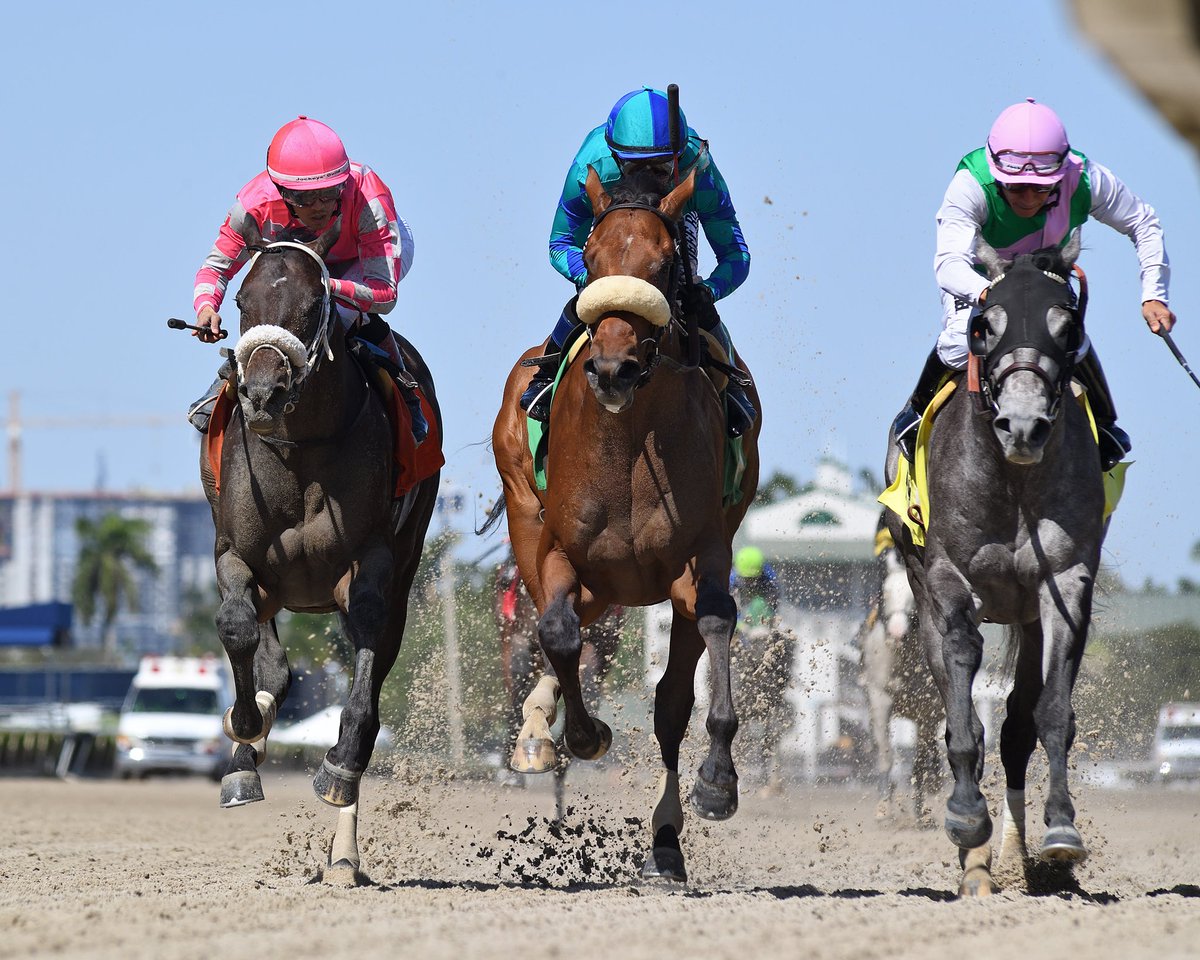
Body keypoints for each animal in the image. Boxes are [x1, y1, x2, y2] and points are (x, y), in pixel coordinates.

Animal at [199, 217, 444, 883]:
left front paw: (338, 768)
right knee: (274, 661)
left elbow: (366, 653)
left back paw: (343, 849)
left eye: (313, 305)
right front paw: (244, 739)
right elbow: (236, 627)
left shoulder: (371, 561)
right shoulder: (234, 553)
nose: (260, 392)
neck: (302, 448)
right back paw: (251, 741)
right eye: (241, 301)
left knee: (370, 668)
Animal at [484, 166, 758, 883]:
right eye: (592, 257)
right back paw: (539, 735)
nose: (611, 368)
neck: (629, 437)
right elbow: (555, 632)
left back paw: (665, 839)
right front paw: (582, 735)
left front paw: (719, 783)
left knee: (669, 705)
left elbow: (709, 634)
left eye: (663, 265)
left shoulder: (702, 553)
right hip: (549, 541)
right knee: (559, 636)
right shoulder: (557, 552)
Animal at [883, 230, 1104, 892]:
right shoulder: (948, 581)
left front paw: (1061, 830)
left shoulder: (1064, 584)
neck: (1014, 483)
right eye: (985, 324)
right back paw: (976, 860)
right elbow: (961, 707)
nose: (1023, 426)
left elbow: (1048, 713)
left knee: (1015, 732)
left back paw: (1010, 859)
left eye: (1067, 325)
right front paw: (964, 818)